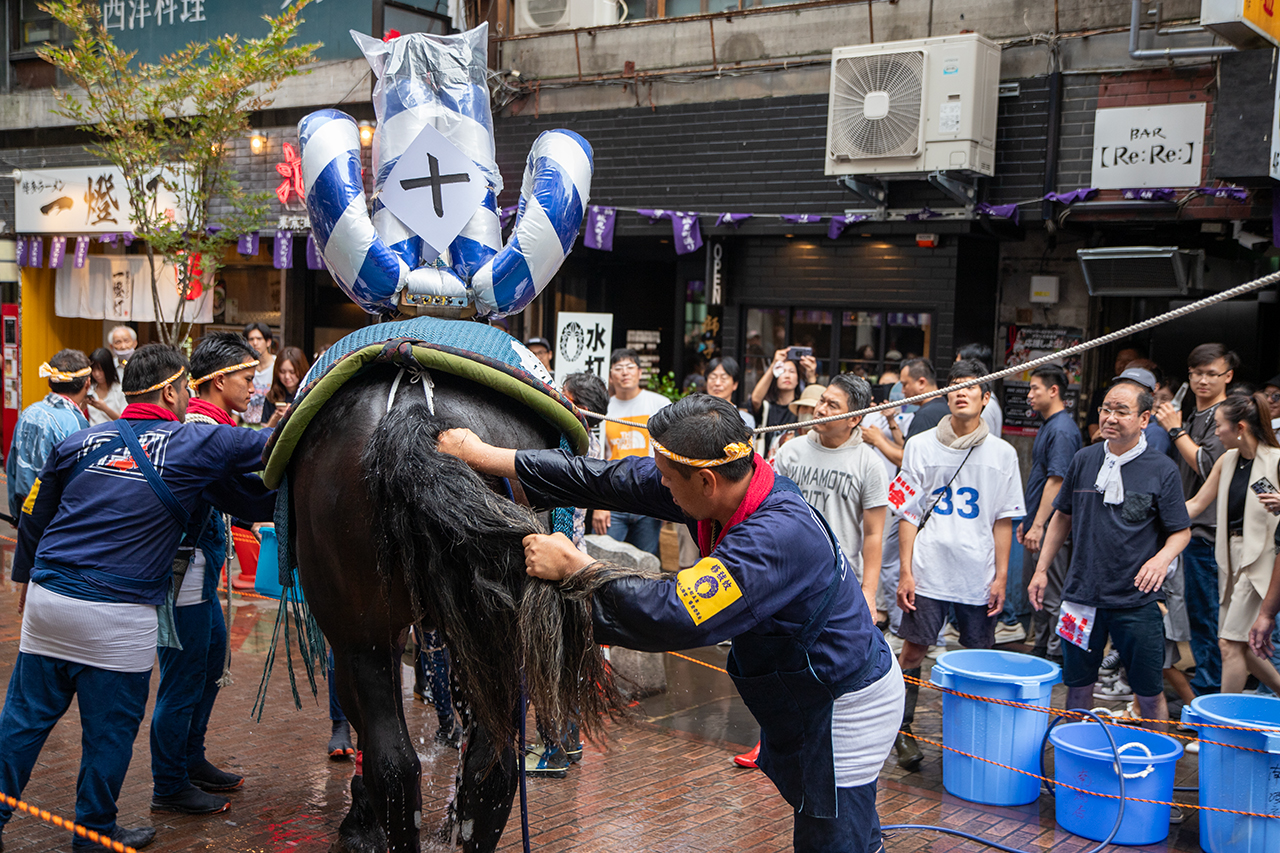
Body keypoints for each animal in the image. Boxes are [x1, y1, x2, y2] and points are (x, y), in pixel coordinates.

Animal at [282, 363, 622, 850]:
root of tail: (413, 410)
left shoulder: (368, 637)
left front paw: (361, 822)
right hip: (501, 630)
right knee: (492, 766)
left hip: (358, 632)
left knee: (395, 766)